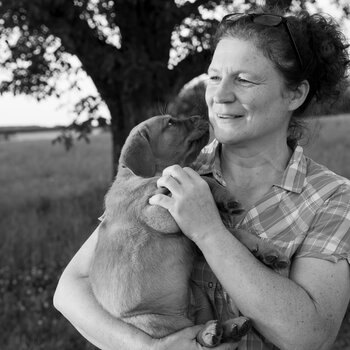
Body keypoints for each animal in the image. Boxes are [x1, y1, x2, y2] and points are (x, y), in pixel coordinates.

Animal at [90, 115, 290, 348]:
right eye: (170, 123)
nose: (199, 115)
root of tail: (184, 314)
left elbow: (231, 229)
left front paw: (265, 249)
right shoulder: (158, 213)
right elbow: (199, 177)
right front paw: (224, 199)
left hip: (198, 294)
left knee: (202, 324)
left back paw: (230, 328)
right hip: (151, 321)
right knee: (192, 332)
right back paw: (211, 332)